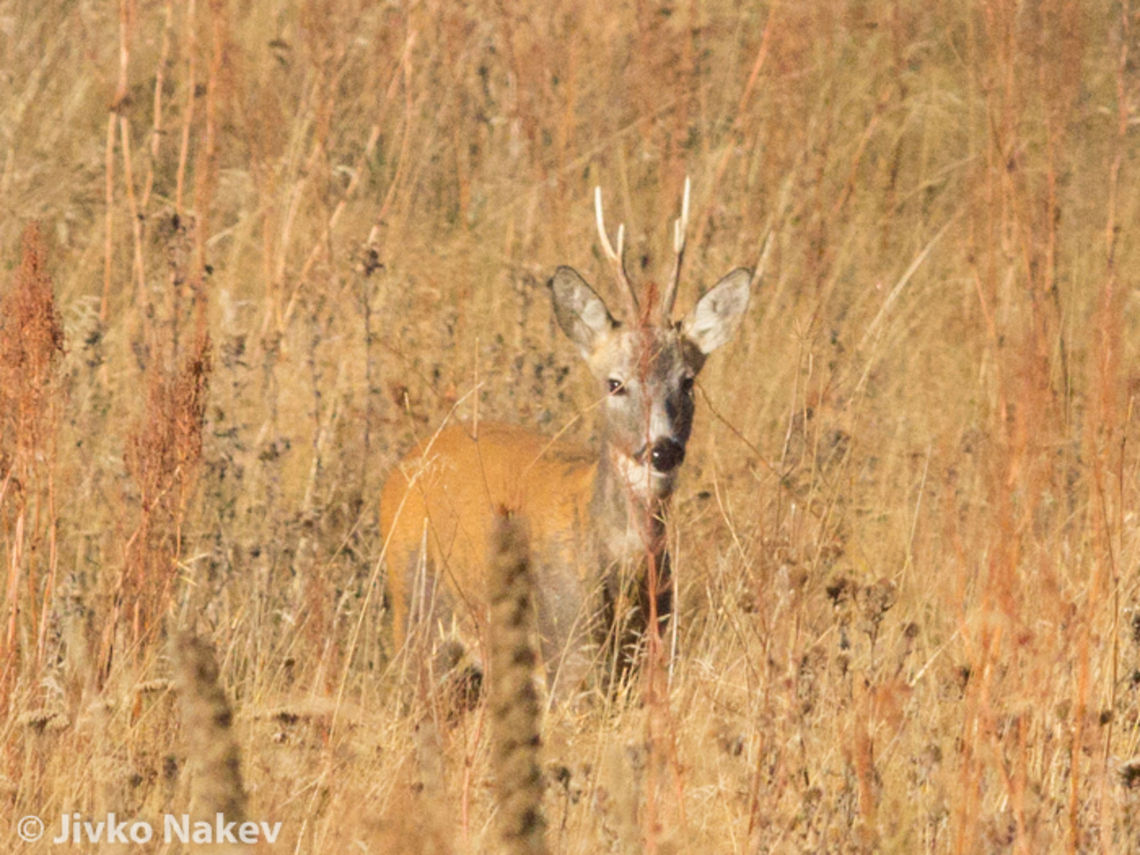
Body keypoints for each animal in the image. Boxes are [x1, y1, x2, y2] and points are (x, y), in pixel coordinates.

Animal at [379, 179, 751, 703]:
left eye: (688, 381)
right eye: (615, 383)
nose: (663, 450)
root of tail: (397, 474)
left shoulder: (651, 648)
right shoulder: (569, 650)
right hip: (416, 616)